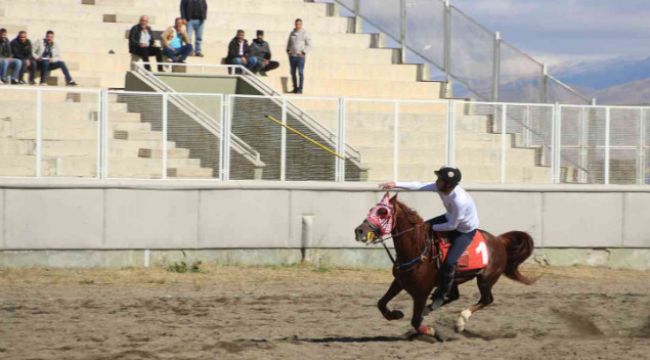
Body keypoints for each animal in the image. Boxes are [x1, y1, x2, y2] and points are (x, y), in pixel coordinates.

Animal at [354, 194, 532, 338]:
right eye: (371, 209)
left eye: (383, 212)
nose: (359, 231)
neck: (418, 250)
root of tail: (499, 240)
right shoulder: (399, 282)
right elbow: (381, 303)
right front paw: (395, 314)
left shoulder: (421, 292)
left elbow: (415, 321)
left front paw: (432, 331)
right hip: (455, 279)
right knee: (454, 296)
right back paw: (433, 305)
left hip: (485, 279)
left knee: (487, 299)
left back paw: (460, 321)